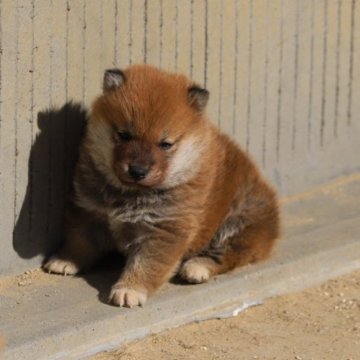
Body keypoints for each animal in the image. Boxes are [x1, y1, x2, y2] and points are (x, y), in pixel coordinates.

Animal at [43, 64, 280, 306]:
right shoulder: (88, 212)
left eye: (165, 144)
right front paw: (66, 259)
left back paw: (197, 267)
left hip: (239, 222)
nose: (138, 171)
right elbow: (79, 240)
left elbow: (146, 265)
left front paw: (130, 289)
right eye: (124, 135)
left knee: (228, 255)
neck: (129, 193)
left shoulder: (164, 230)